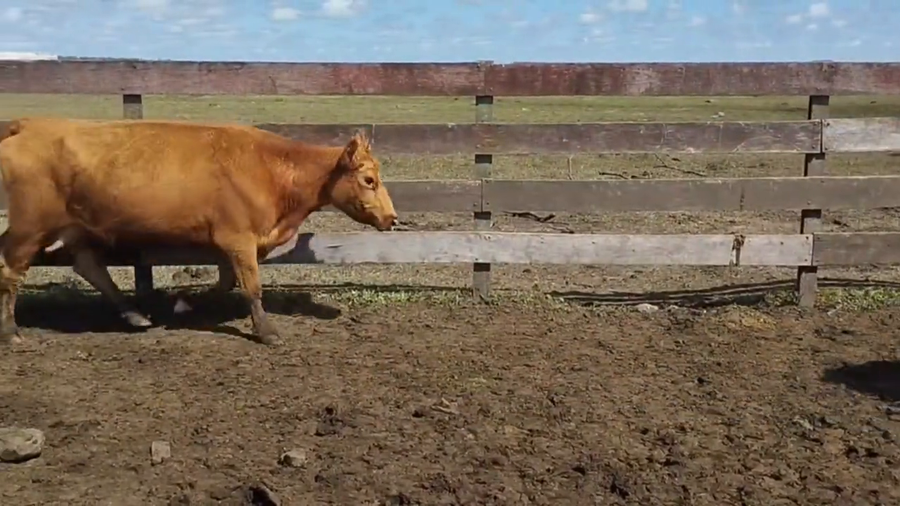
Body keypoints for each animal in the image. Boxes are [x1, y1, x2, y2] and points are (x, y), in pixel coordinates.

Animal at [0, 118, 398, 345]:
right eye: (369, 180)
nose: (392, 218)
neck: (270, 168)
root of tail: (29, 125)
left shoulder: (232, 244)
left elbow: (225, 282)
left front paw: (185, 304)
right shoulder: (239, 239)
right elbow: (251, 286)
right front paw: (267, 332)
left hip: (75, 226)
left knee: (89, 266)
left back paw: (134, 315)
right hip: (30, 225)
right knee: (11, 269)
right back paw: (11, 332)